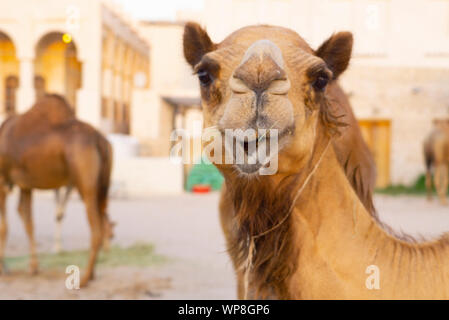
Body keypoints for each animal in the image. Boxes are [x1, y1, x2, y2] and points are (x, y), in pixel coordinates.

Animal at [0, 94, 113, 286]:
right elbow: (28, 220)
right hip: (102, 185)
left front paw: (5, 269)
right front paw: (33, 268)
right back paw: (91, 274)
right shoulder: (25, 184)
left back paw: (84, 278)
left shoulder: (3, 178)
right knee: (103, 219)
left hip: (86, 185)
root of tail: (100, 140)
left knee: (96, 228)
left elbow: (4, 226)